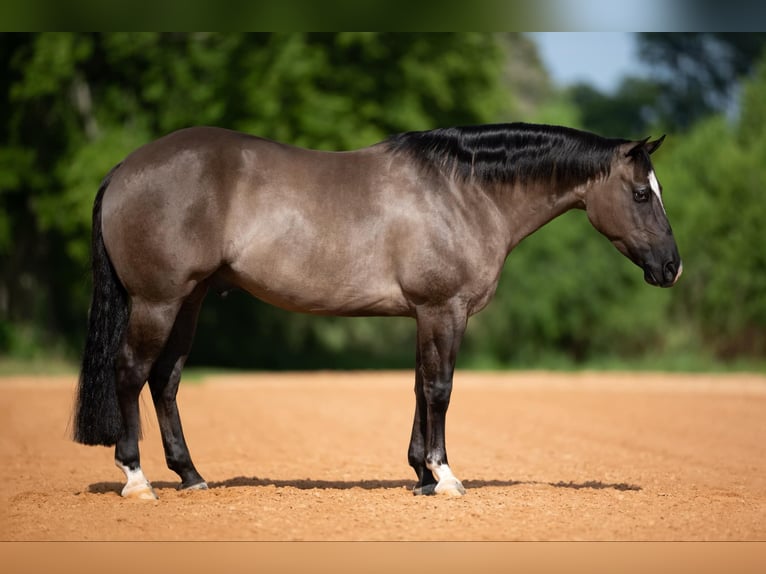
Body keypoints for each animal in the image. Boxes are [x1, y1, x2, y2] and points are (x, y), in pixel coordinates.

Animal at [72, 121, 684, 500]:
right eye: (641, 194)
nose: (672, 267)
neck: (463, 192)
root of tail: (125, 168)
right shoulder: (444, 310)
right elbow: (439, 388)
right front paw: (444, 476)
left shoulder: (424, 315)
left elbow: (418, 386)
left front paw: (420, 475)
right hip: (158, 301)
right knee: (130, 372)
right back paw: (137, 479)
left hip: (191, 300)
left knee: (165, 381)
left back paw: (192, 475)